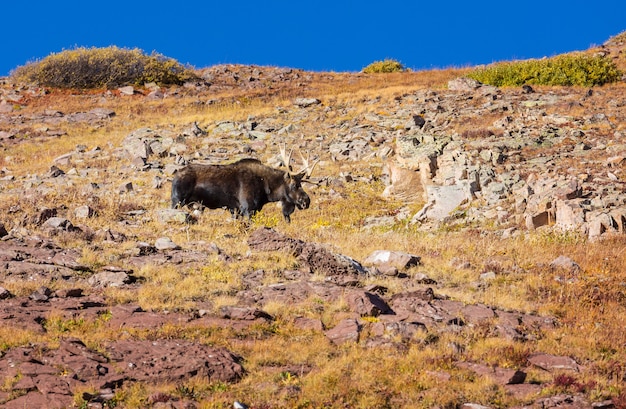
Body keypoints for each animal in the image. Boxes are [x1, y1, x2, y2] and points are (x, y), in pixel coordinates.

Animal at [171, 147, 316, 222]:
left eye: (301, 183)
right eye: (294, 185)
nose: (306, 201)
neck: (266, 189)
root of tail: (175, 176)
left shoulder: (238, 210)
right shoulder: (247, 209)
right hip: (177, 201)